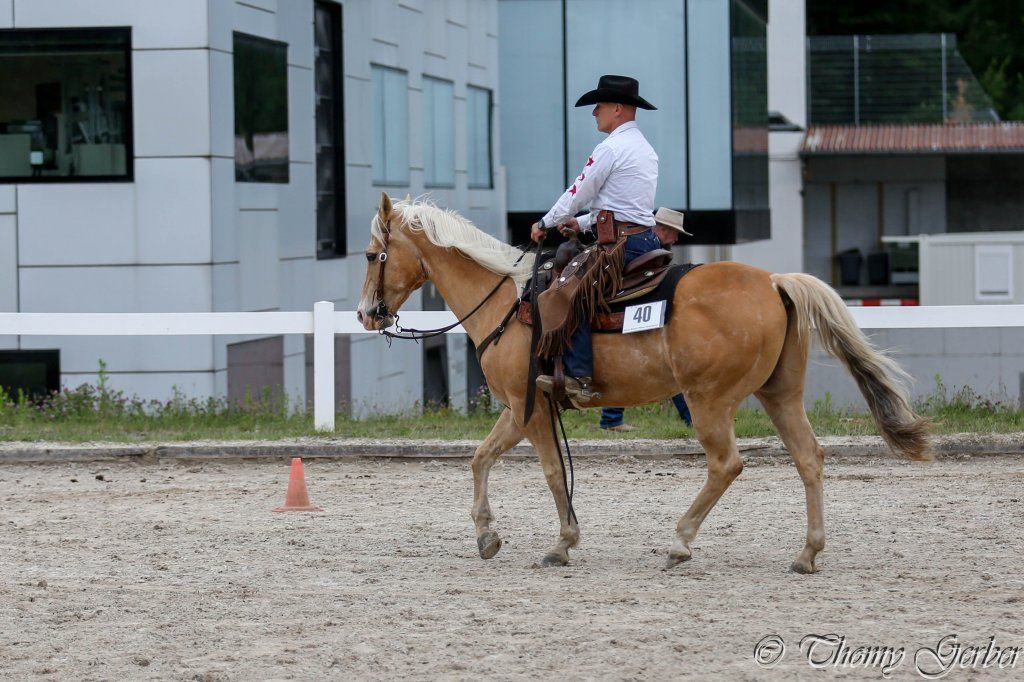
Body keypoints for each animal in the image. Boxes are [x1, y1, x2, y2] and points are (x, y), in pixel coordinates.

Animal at [356, 193, 930, 573]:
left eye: (369, 254)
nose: (366, 313)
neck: (507, 302)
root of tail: (773, 281)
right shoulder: (521, 406)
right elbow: (480, 458)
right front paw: (486, 536)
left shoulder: (528, 407)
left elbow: (550, 472)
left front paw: (561, 543)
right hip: (779, 394)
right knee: (809, 457)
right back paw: (807, 553)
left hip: (709, 400)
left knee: (726, 464)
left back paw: (680, 542)